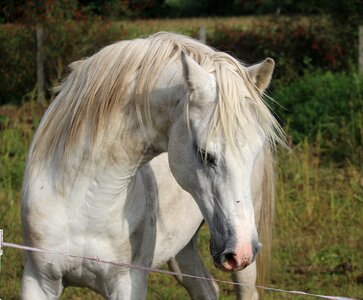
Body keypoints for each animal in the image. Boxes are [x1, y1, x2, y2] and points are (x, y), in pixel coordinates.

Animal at [20, 31, 284, 298]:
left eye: (255, 151)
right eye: (205, 154)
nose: (241, 250)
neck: (82, 201)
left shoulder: (128, 283)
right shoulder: (39, 281)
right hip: (183, 249)